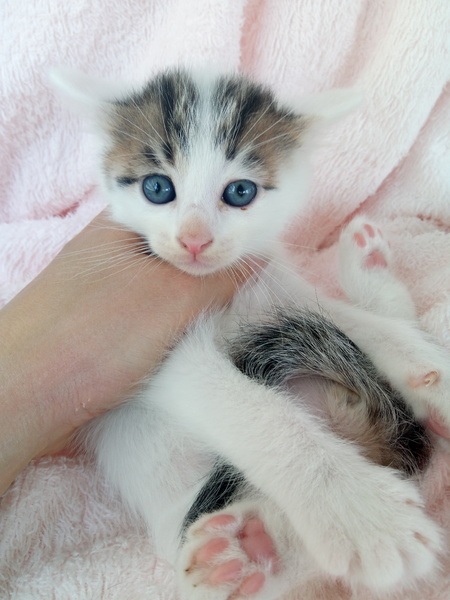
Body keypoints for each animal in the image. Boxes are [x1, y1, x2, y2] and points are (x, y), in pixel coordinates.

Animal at [51, 67, 449, 599]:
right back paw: (249, 549)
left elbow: (353, 322)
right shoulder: (143, 350)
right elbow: (247, 410)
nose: (194, 240)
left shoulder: (270, 282)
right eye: (157, 188)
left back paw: (371, 268)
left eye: (240, 192)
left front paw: (426, 366)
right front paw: (365, 514)